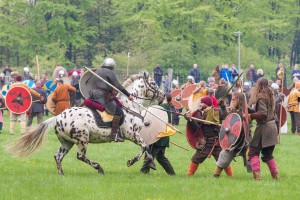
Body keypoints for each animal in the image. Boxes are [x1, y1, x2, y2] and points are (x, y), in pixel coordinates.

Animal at [7, 72, 165, 175]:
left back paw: (61, 173)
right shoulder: (132, 135)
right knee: (80, 156)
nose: (163, 95)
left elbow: (145, 148)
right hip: (82, 139)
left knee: (58, 156)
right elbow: (145, 148)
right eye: (153, 83)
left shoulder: (135, 136)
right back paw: (99, 168)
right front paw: (142, 162)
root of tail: (58, 117)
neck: (129, 106)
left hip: (67, 142)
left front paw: (142, 162)